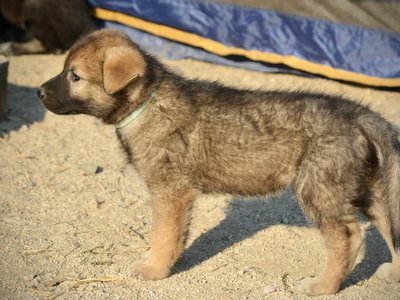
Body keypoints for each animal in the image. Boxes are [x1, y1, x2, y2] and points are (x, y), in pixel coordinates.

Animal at [37, 29, 400, 296]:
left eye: (75, 77)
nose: (39, 92)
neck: (147, 102)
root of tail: (358, 115)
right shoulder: (176, 195)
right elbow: (171, 235)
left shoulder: (171, 191)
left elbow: (163, 235)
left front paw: (153, 269)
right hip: (365, 190)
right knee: (389, 227)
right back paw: (392, 273)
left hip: (319, 189)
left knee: (347, 237)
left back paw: (322, 286)